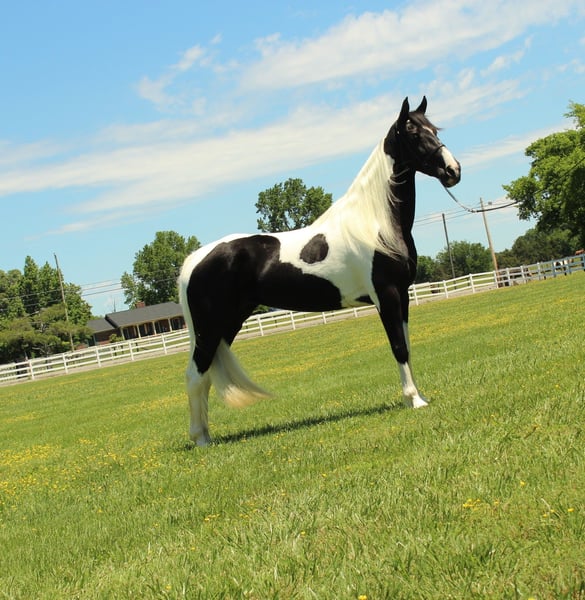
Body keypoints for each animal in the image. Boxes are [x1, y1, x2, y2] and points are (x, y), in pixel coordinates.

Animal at [179, 96, 461, 446]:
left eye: (434, 131)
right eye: (413, 133)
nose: (453, 170)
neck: (375, 223)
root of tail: (194, 260)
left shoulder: (403, 296)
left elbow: (406, 346)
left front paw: (417, 396)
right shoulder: (387, 295)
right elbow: (398, 346)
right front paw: (414, 400)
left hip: (227, 324)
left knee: (203, 376)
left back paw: (205, 434)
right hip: (210, 327)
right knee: (195, 375)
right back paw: (201, 440)